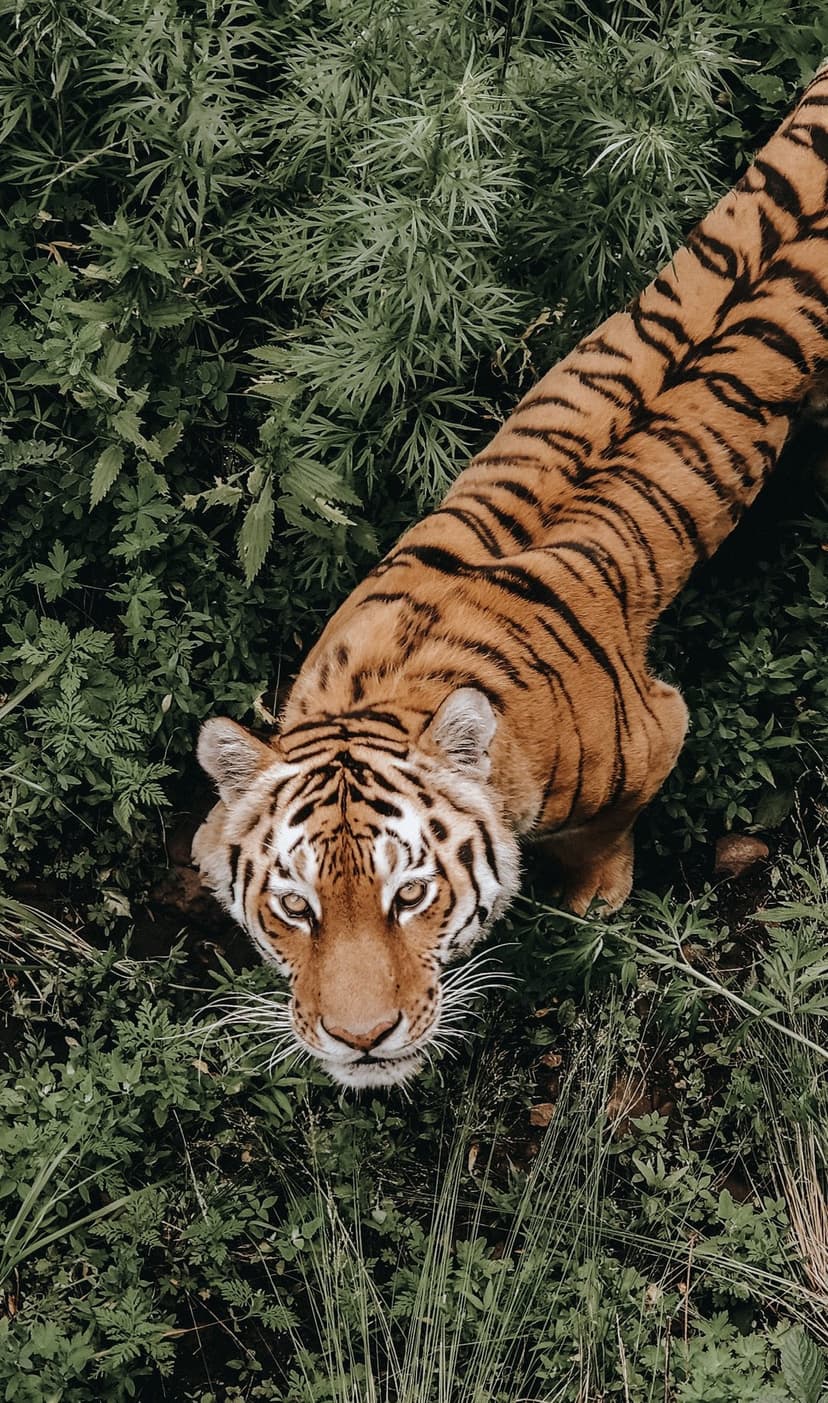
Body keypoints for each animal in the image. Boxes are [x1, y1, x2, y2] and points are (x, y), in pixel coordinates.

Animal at [193, 70, 828, 1089]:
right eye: (295, 906)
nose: (360, 1039)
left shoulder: (661, 730)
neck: (389, 687)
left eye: (411, 894)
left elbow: (605, 831)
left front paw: (596, 897)